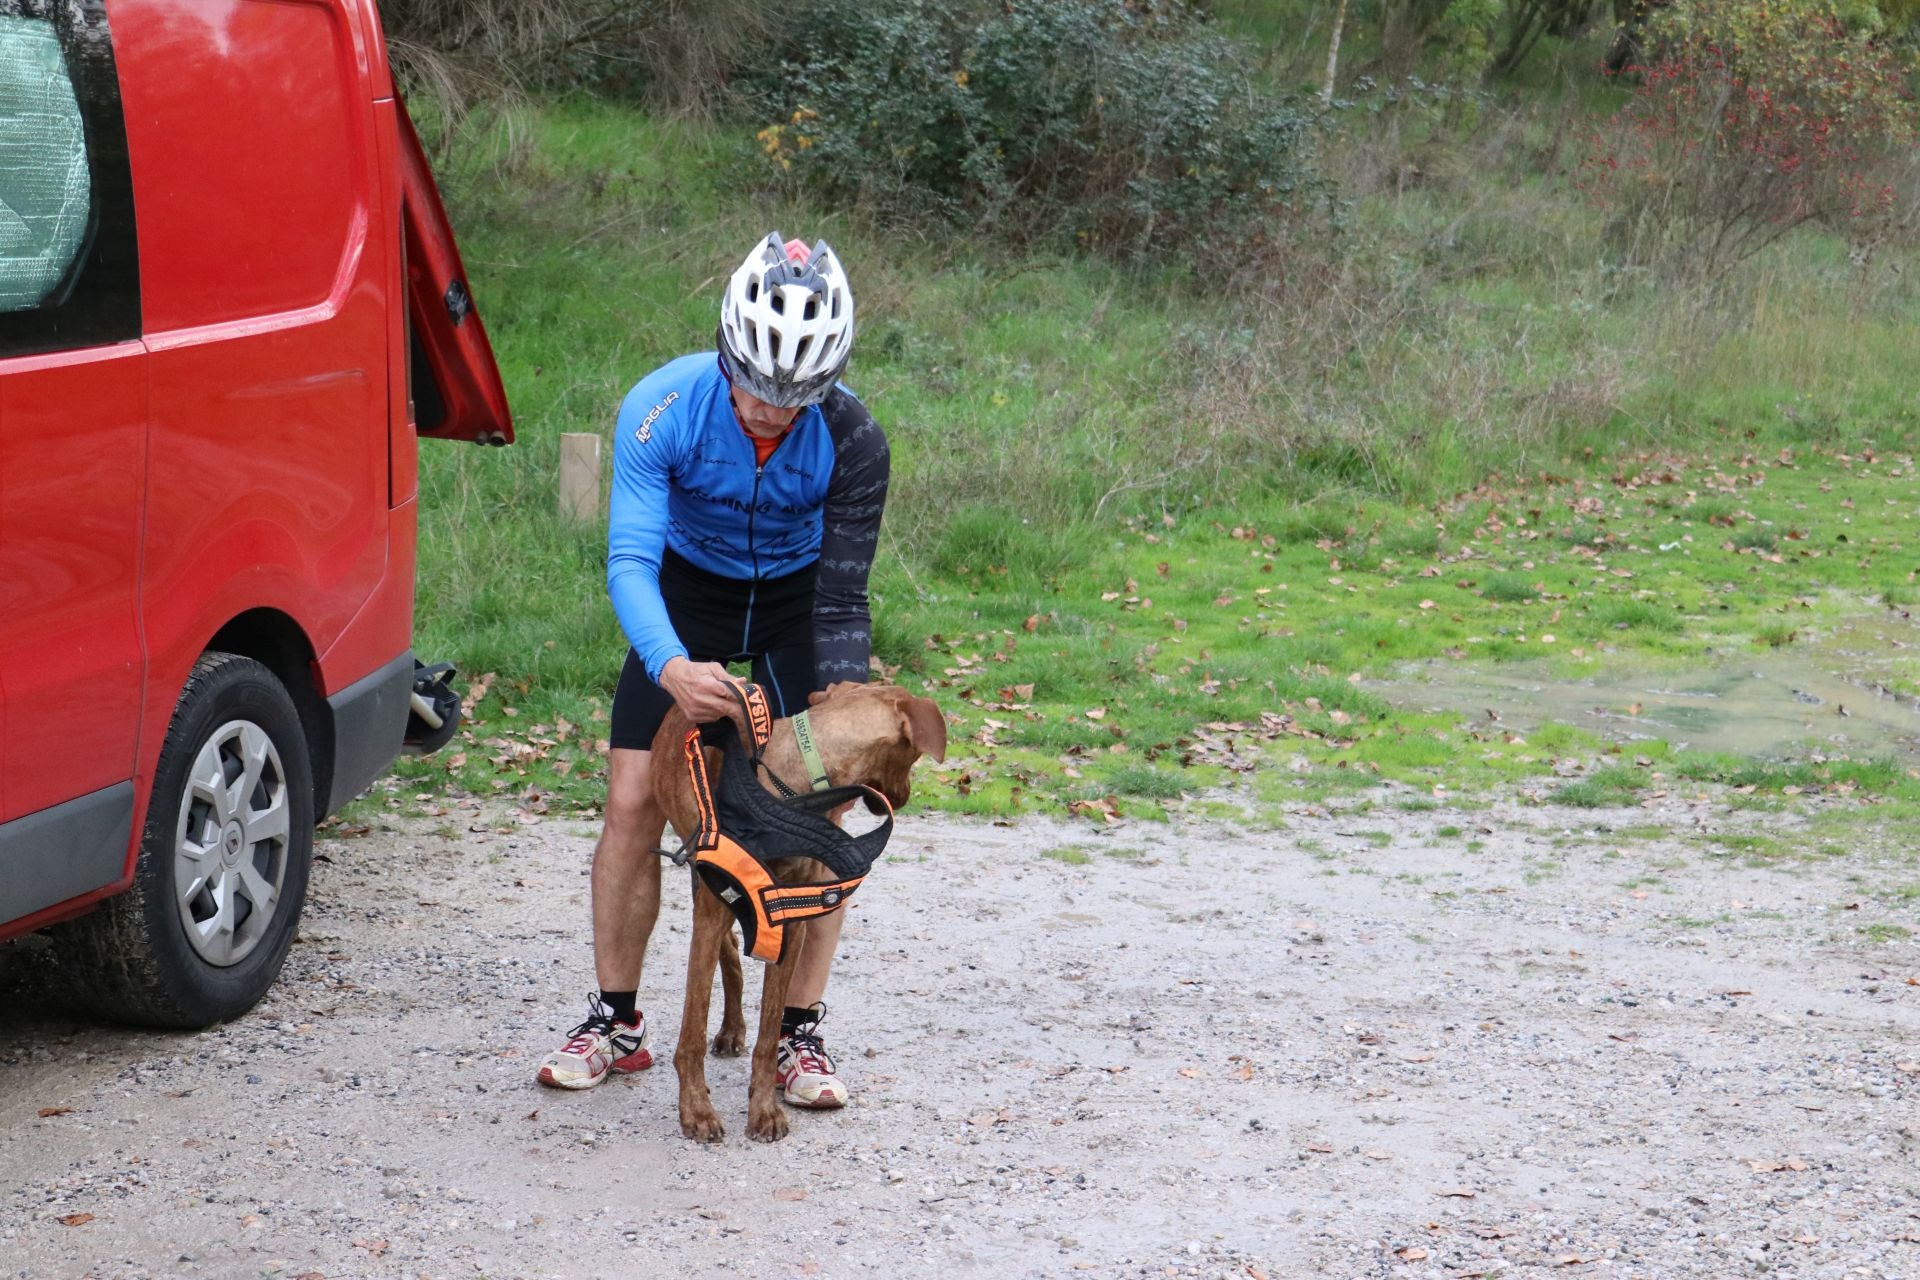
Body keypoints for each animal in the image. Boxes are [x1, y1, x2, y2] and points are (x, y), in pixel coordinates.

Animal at [645, 679, 944, 1143]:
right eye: (912, 756)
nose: (904, 798)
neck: (789, 788)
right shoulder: (715, 909)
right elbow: (691, 1030)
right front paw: (696, 1110)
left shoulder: (791, 917)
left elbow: (770, 1033)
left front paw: (764, 1110)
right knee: (725, 948)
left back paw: (733, 1029)